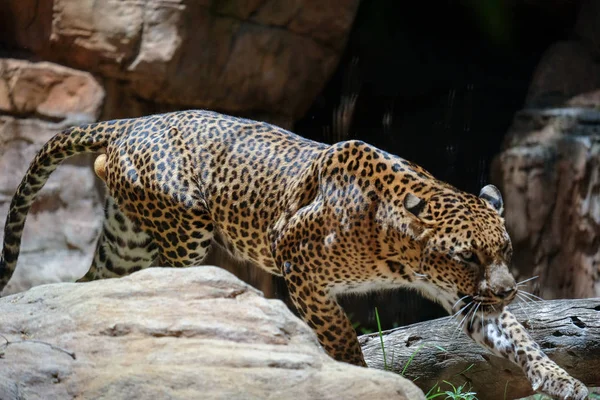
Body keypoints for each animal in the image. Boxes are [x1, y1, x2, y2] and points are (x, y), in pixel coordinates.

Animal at [0, 109, 588, 400]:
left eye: (504, 249)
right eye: (466, 256)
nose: (508, 289)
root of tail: (128, 121)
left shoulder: (472, 303)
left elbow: (520, 340)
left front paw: (567, 383)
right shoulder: (299, 267)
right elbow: (340, 334)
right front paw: (357, 376)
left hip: (127, 241)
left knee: (90, 286)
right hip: (185, 226)